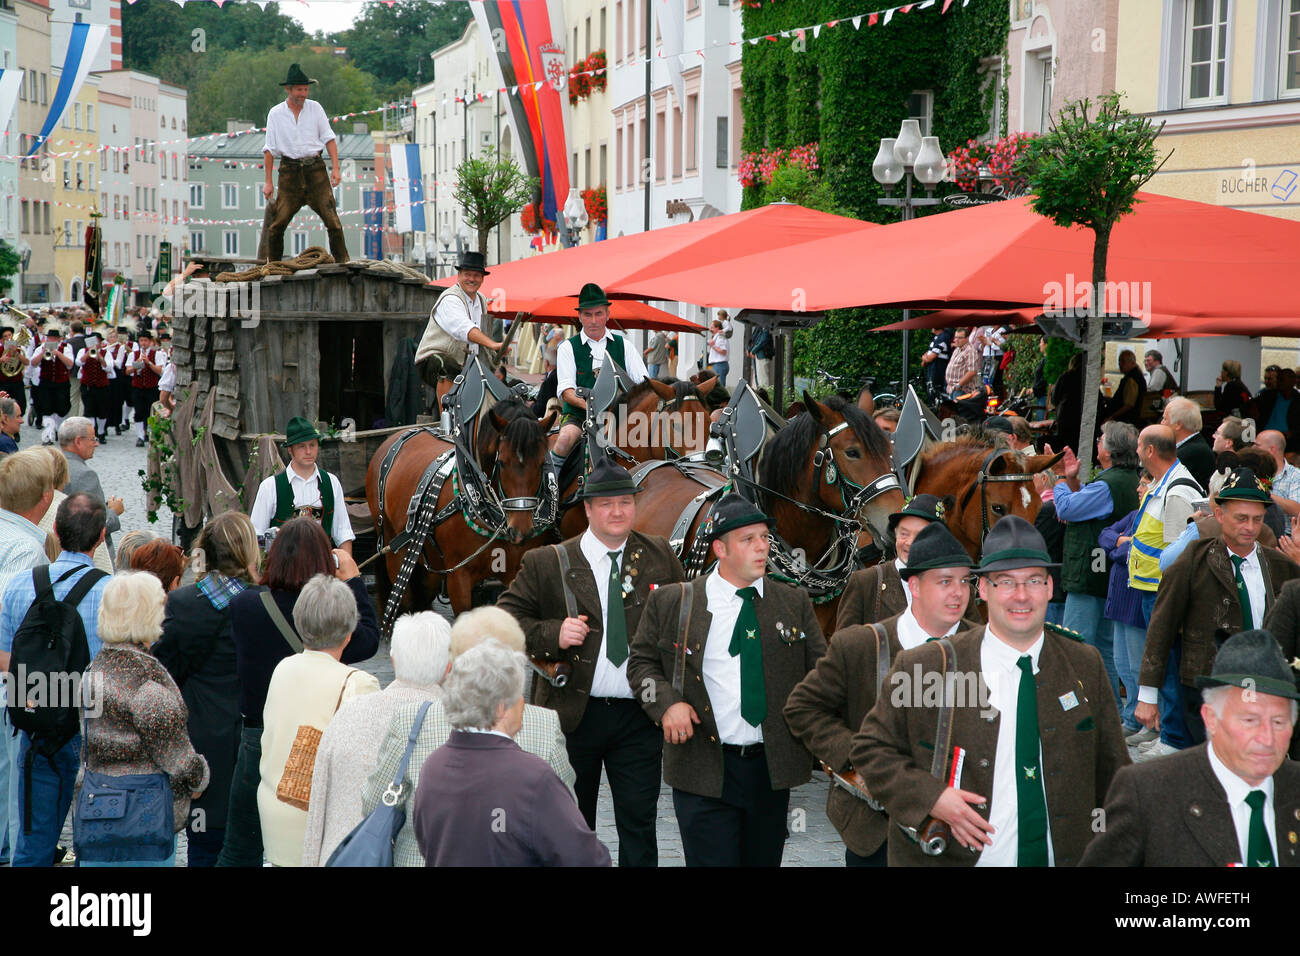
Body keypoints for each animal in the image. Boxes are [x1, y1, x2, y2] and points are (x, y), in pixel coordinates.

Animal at [364, 395, 556, 621]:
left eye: (542, 462)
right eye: (501, 462)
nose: (520, 531)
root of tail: (397, 436)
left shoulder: (516, 570)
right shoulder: (458, 577)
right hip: (394, 547)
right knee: (404, 601)